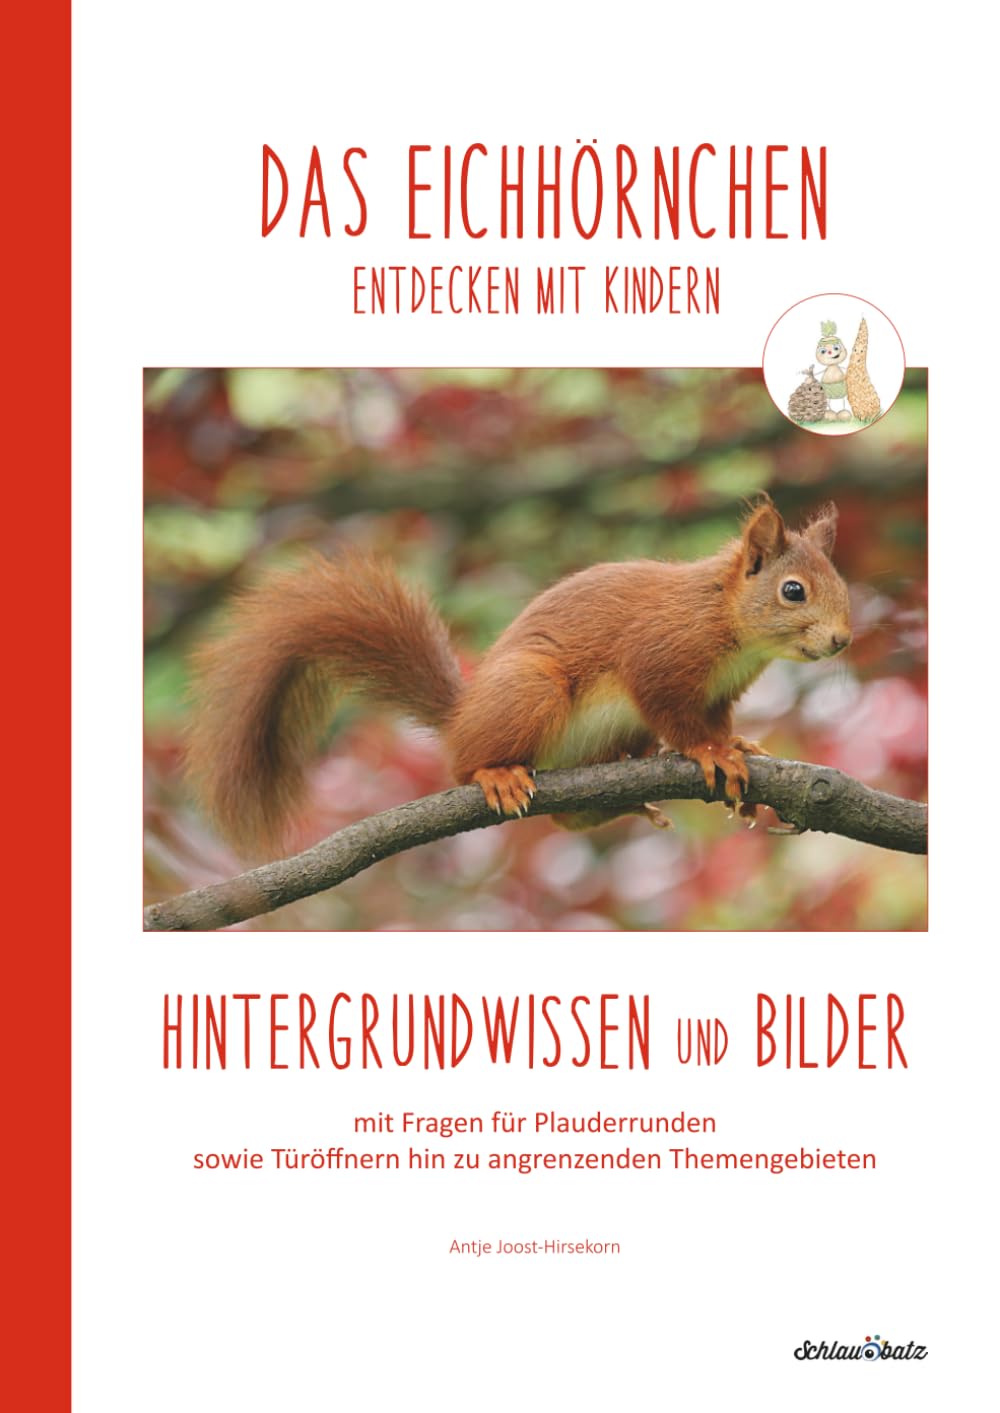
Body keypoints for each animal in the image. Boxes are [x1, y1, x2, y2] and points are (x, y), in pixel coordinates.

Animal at [186, 498, 851, 856]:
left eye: (841, 584)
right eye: (793, 591)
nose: (842, 639)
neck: (726, 618)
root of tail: (462, 716)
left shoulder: (721, 690)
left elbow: (717, 718)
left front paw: (737, 744)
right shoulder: (659, 655)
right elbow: (674, 713)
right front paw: (712, 752)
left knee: (569, 817)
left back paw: (629, 797)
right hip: (531, 690)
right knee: (466, 763)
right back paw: (496, 773)